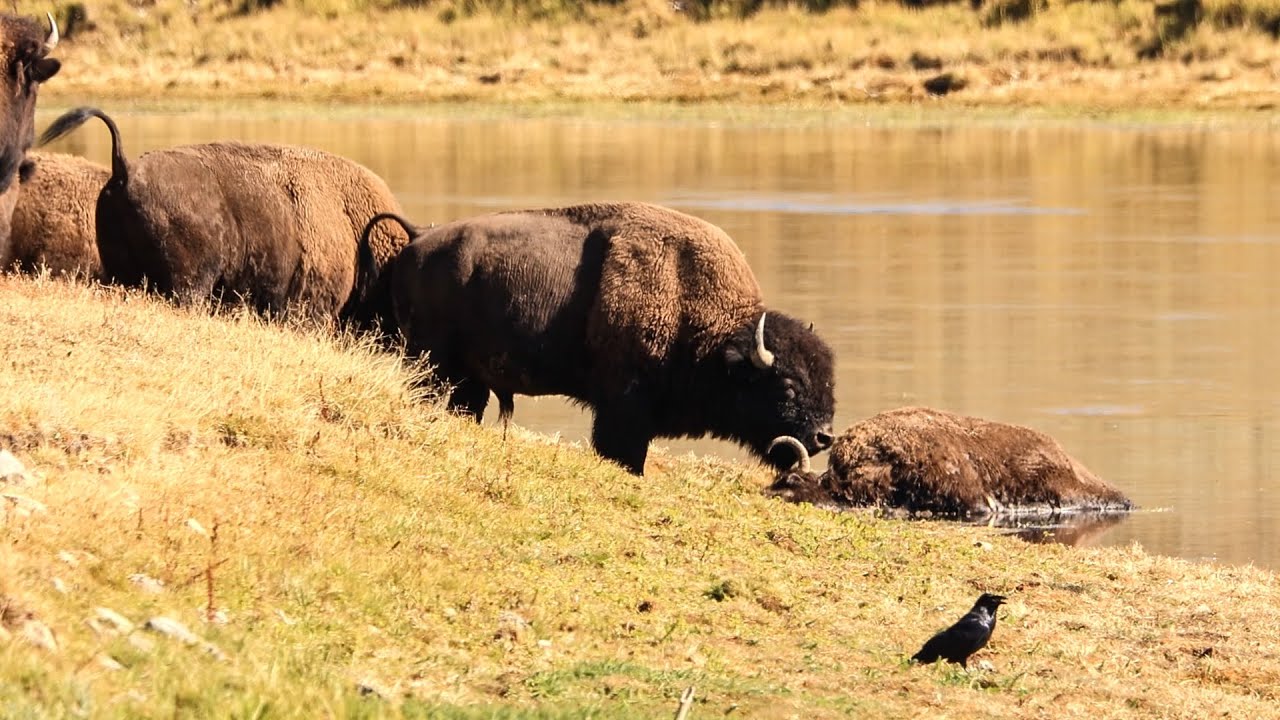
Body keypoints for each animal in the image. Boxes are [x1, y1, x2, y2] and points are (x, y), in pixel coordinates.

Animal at [362, 202, 836, 475]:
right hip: (432, 364)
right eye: (787, 387)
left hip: (467, 379)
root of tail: (419, 237)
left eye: (828, 380)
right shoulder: (622, 409)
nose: (824, 438)